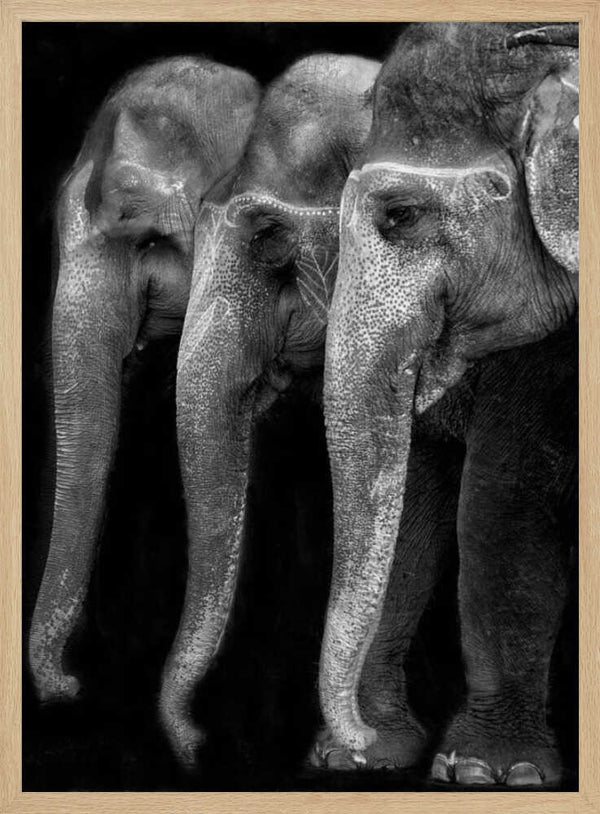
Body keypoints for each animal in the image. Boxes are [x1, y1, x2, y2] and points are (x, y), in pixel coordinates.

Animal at [318, 23, 578, 786]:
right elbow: (423, 492)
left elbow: (505, 498)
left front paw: (491, 773)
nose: (356, 741)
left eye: (399, 216)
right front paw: (374, 759)